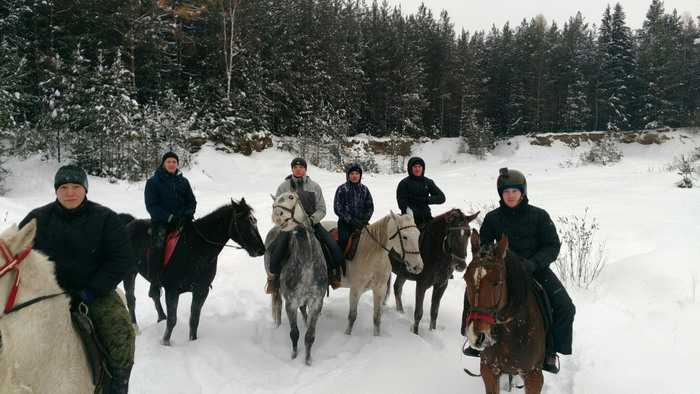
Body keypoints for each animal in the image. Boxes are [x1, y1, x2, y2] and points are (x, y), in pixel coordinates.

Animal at [123, 199, 266, 344]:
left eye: (254, 221)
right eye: (243, 221)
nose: (261, 249)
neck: (196, 249)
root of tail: (129, 224)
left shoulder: (201, 290)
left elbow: (194, 320)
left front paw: (193, 341)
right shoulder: (172, 290)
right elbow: (172, 321)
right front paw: (165, 343)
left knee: (154, 294)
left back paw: (161, 317)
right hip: (129, 273)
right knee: (131, 299)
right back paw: (135, 328)